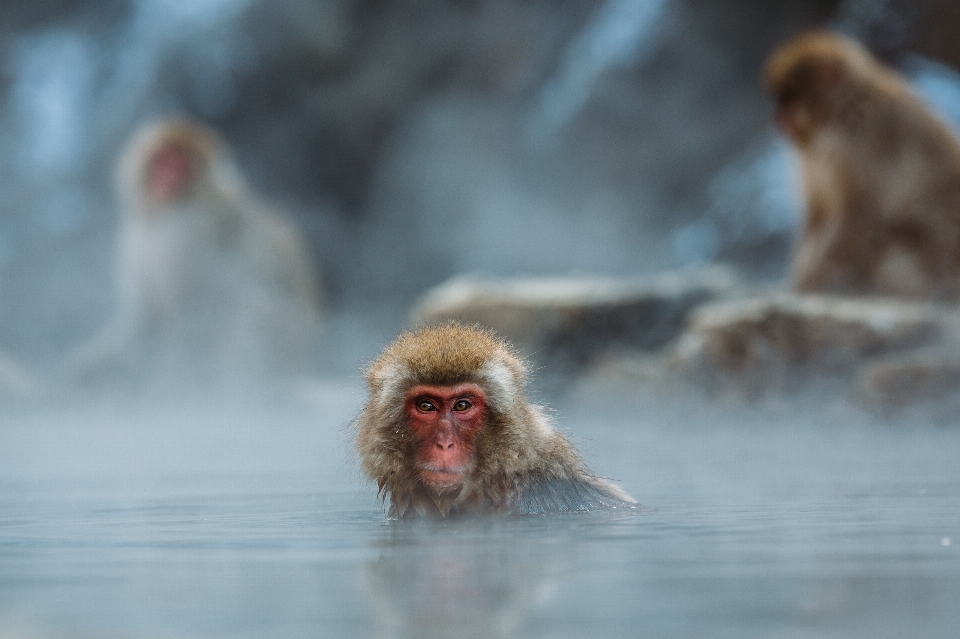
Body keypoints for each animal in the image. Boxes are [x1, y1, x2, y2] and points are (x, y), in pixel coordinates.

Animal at [71, 117, 324, 392]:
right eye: (162, 159)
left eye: (183, 167)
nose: (166, 180)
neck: (162, 216)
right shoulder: (136, 239)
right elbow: (144, 322)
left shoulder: (187, 234)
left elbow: (192, 313)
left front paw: (173, 379)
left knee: (253, 306)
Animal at [768, 30, 960, 300]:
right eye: (779, 97)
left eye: (788, 97)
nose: (777, 115)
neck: (841, 114)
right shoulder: (813, 157)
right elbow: (818, 215)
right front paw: (799, 280)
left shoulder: (865, 142)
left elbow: (861, 215)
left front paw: (808, 284)